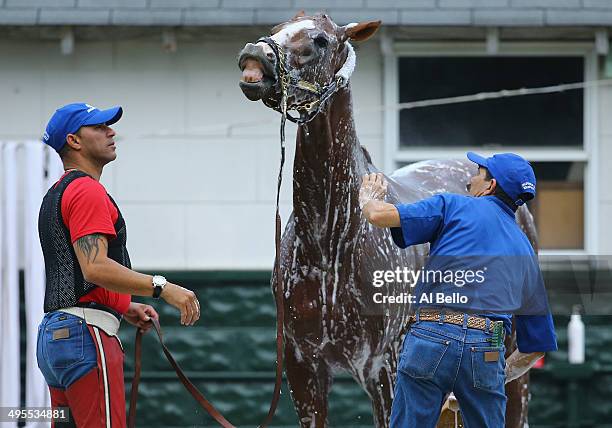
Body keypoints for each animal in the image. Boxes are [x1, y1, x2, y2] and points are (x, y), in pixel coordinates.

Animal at [237, 11, 532, 426]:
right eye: (278, 27)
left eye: (321, 40)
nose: (254, 57)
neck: (332, 241)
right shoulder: (303, 368)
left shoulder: (385, 370)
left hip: (510, 359)